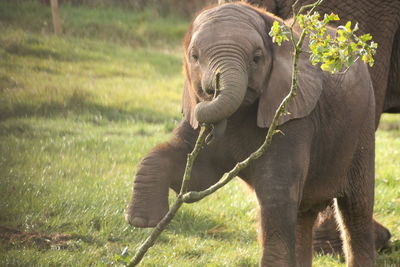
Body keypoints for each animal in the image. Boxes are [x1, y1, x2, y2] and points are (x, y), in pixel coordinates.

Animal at [126, 2, 388, 267]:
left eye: (257, 57)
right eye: (194, 57)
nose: (212, 131)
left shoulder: (292, 114)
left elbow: (276, 192)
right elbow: (195, 173)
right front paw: (141, 221)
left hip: (363, 126)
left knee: (356, 208)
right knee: (303, 212)